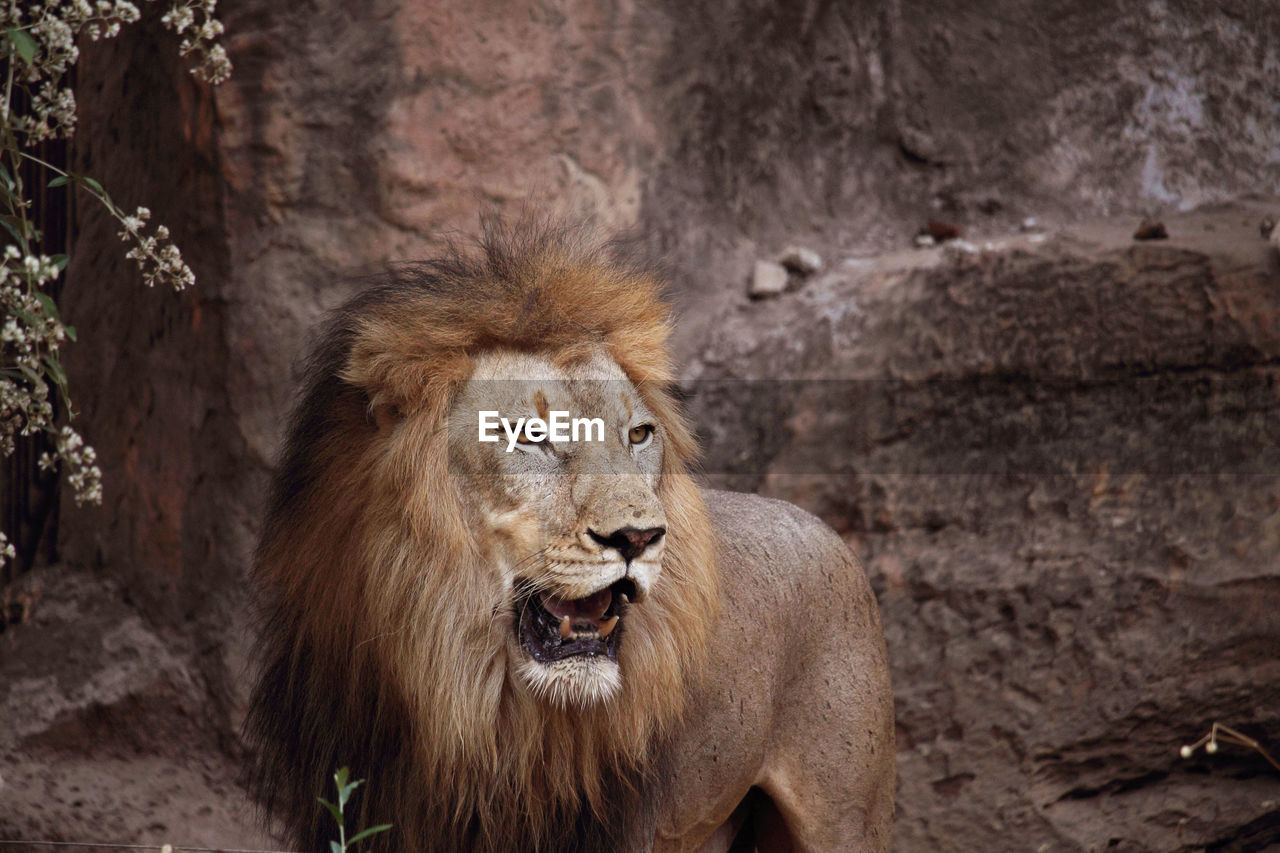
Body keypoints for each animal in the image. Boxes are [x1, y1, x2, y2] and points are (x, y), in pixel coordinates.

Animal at [244, 222, 896, 845]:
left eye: (638, 435)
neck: (467, 703)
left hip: (843, 815)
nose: (638, 538)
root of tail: (820, 526)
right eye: (532, 436)